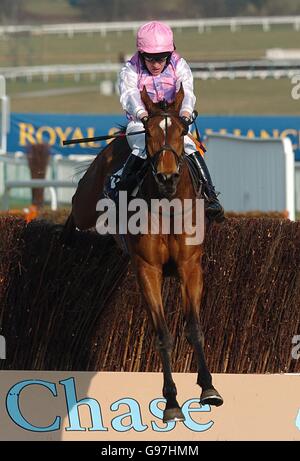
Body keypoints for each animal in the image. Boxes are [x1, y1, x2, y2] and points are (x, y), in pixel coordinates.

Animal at [62, 84, 223, 422]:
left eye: (182, 131)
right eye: (149, 132)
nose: (166, 177)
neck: (169, 207)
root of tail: (120, 138)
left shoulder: (190, 267)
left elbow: (194, 328)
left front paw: (208, 388)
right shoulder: (148, 269)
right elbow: (163, 335)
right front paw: (172, 401)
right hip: (87, 201)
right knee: (75, 206)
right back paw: (68, 235)